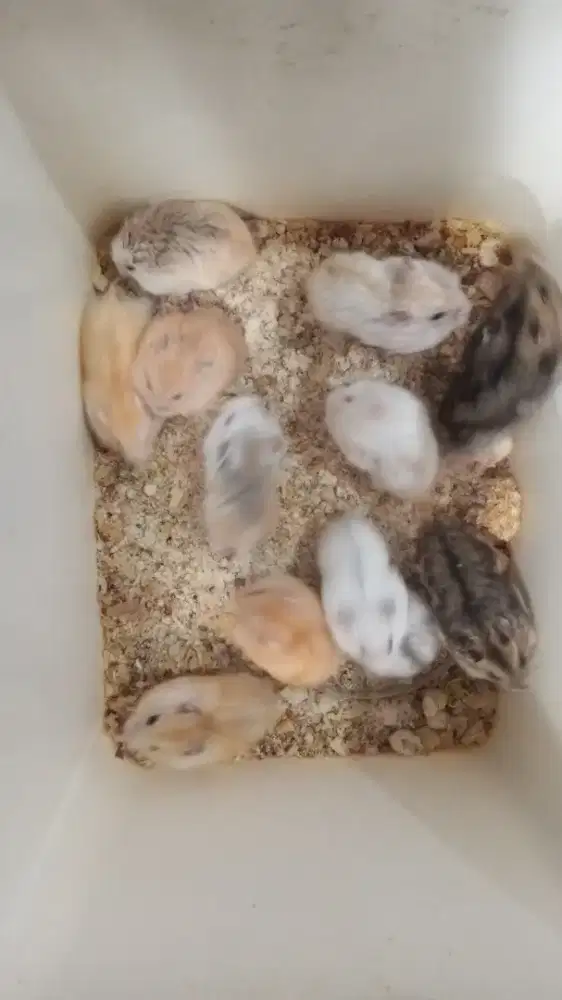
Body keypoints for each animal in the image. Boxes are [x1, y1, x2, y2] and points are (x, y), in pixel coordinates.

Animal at [80, 266, 162, 463]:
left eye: (143, 434)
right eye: (118, 442)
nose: (140, 462)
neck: (120, 398)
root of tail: (111, 299)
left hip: (139, 308)